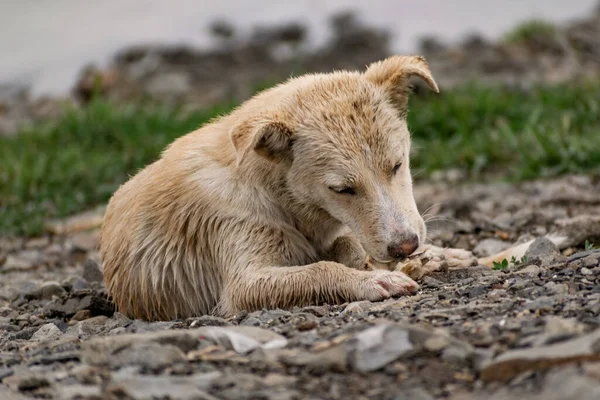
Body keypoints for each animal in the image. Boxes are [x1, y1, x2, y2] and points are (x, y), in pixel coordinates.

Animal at [101, 55, 442, 322]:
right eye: (342, 189)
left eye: (397, 165)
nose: (405, 246)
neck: (273, 191)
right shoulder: (240, 271)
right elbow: (320, 269)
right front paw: (376, 280)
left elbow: (347, 245)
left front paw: (406, 262)